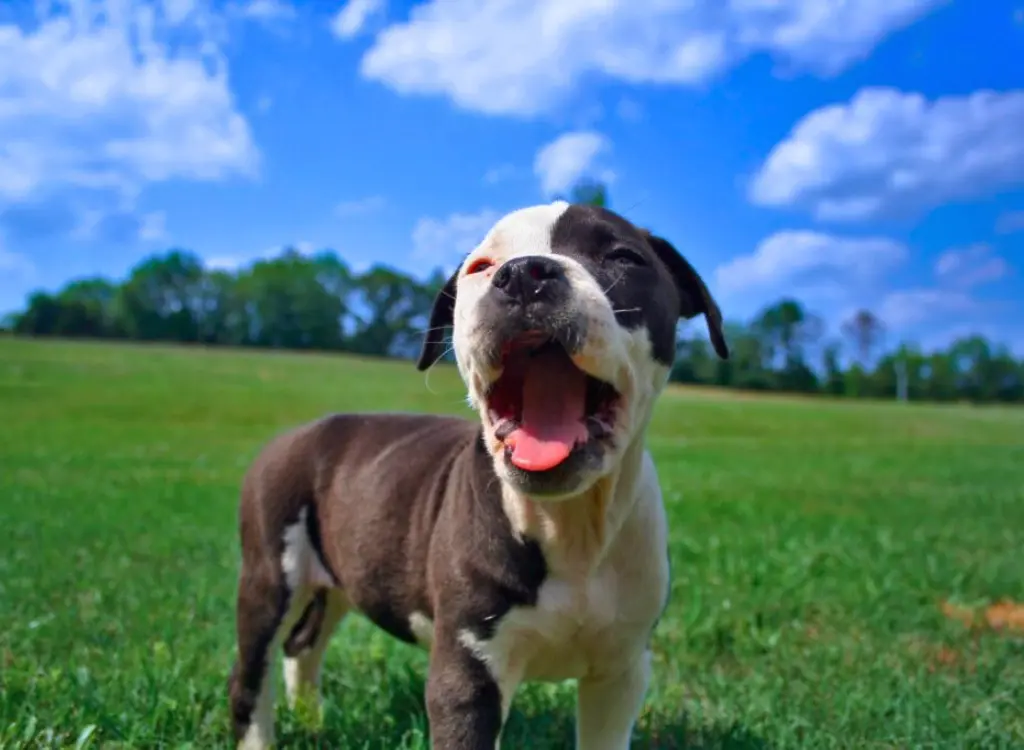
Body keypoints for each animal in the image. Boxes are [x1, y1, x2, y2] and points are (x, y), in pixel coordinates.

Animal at [230, 200, 729, 750]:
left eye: (623, 256)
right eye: (481, 267)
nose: (525, 273)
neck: (569, 524)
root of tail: (291, 435)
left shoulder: (620, 672)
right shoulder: (467, 672)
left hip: (339, 576)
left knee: (304, 644)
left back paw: (311, 717)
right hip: (269, 574)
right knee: (251, 674)